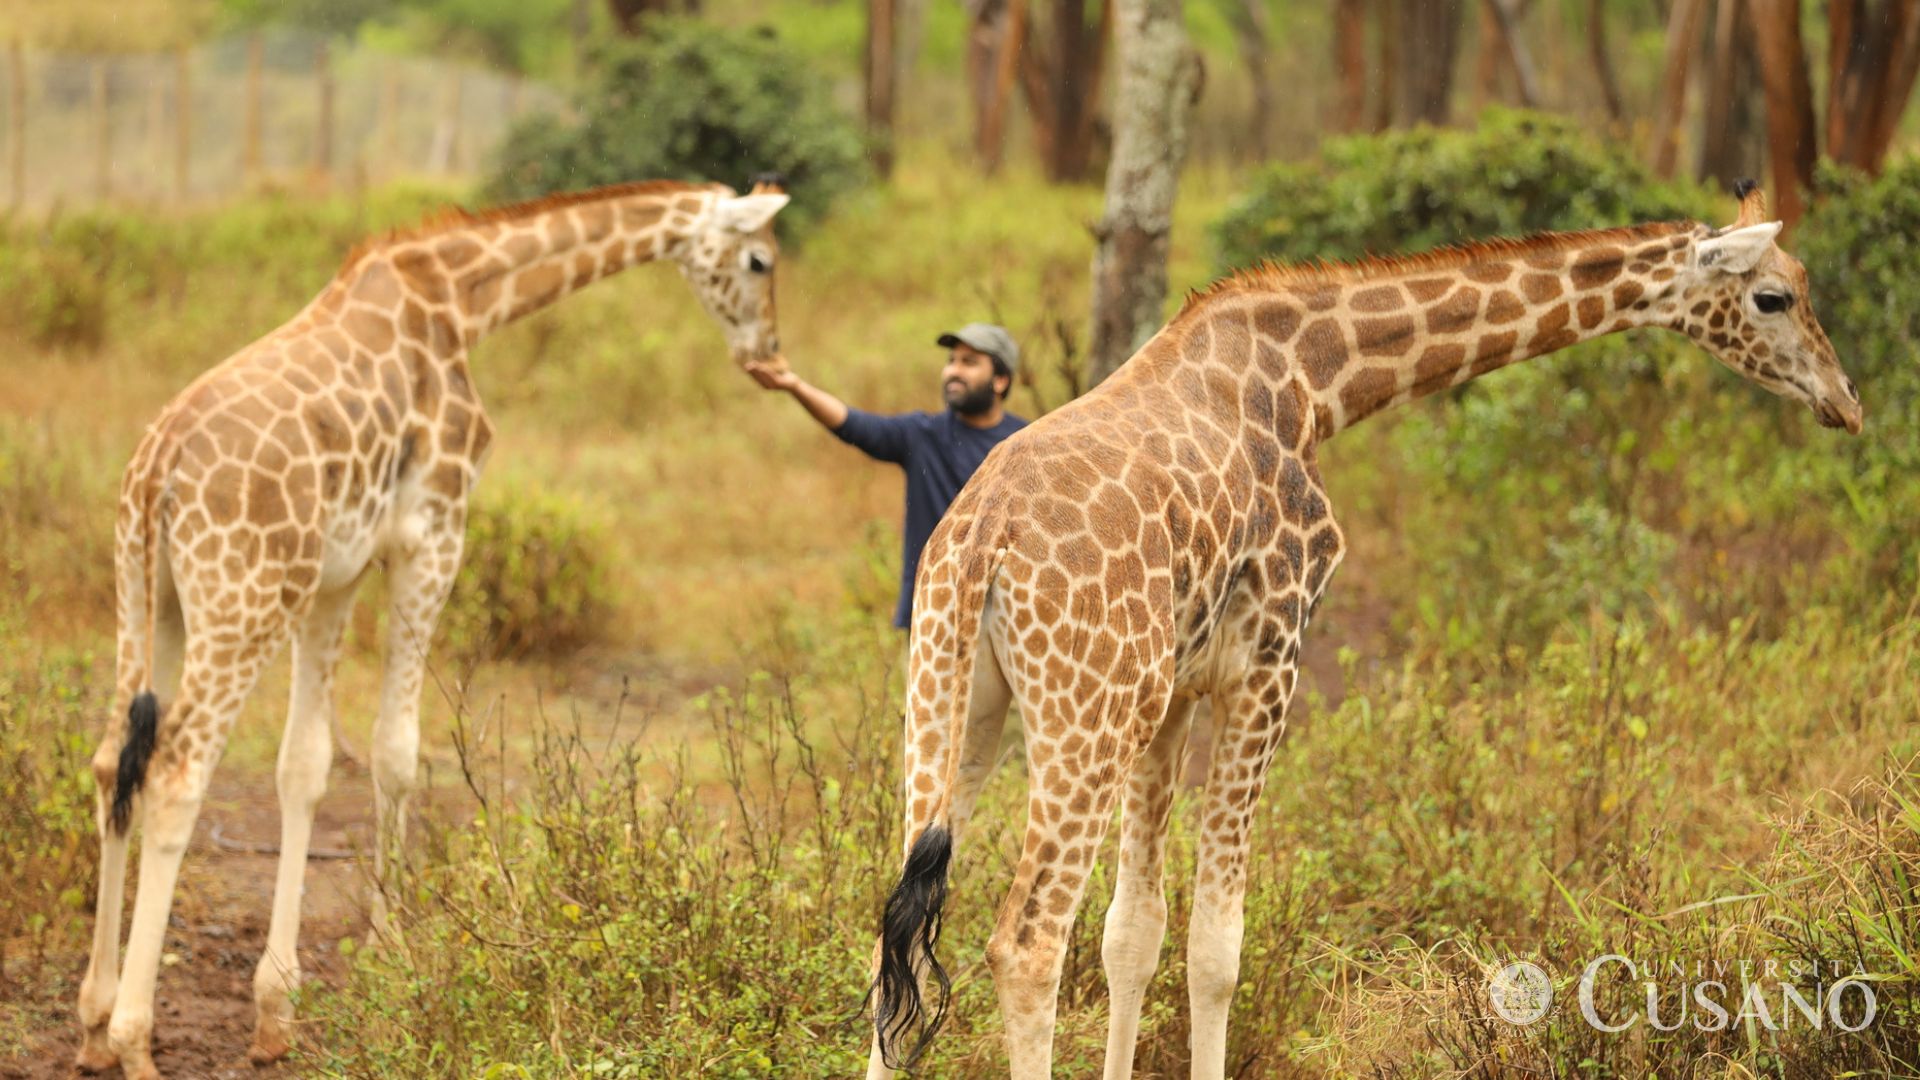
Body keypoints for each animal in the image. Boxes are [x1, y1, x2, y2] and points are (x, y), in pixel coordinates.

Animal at [74, 178, 791, 1076]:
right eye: (759, 260)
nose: (768, 352)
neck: (460, 301)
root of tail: (158, 472)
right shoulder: (433, 533)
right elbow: (397, 752)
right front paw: (393, 958)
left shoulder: (336, 576)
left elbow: (304, 766)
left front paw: (278, 1006)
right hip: (243, 598)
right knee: (175, 773)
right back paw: (134, 1039)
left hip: (147, 596)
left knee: (113, 760)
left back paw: (93, 1020)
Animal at [867, 180, 1858, 1068]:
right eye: (1774, 296)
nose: (1844, 400)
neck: (1315, 383)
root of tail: (983, 541)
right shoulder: (1269, 660)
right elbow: (1216, 950)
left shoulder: (1178, 693)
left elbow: (1134, 933)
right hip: (1087, 715)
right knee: (1025, 944)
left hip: (957, 701)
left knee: (897, 919)